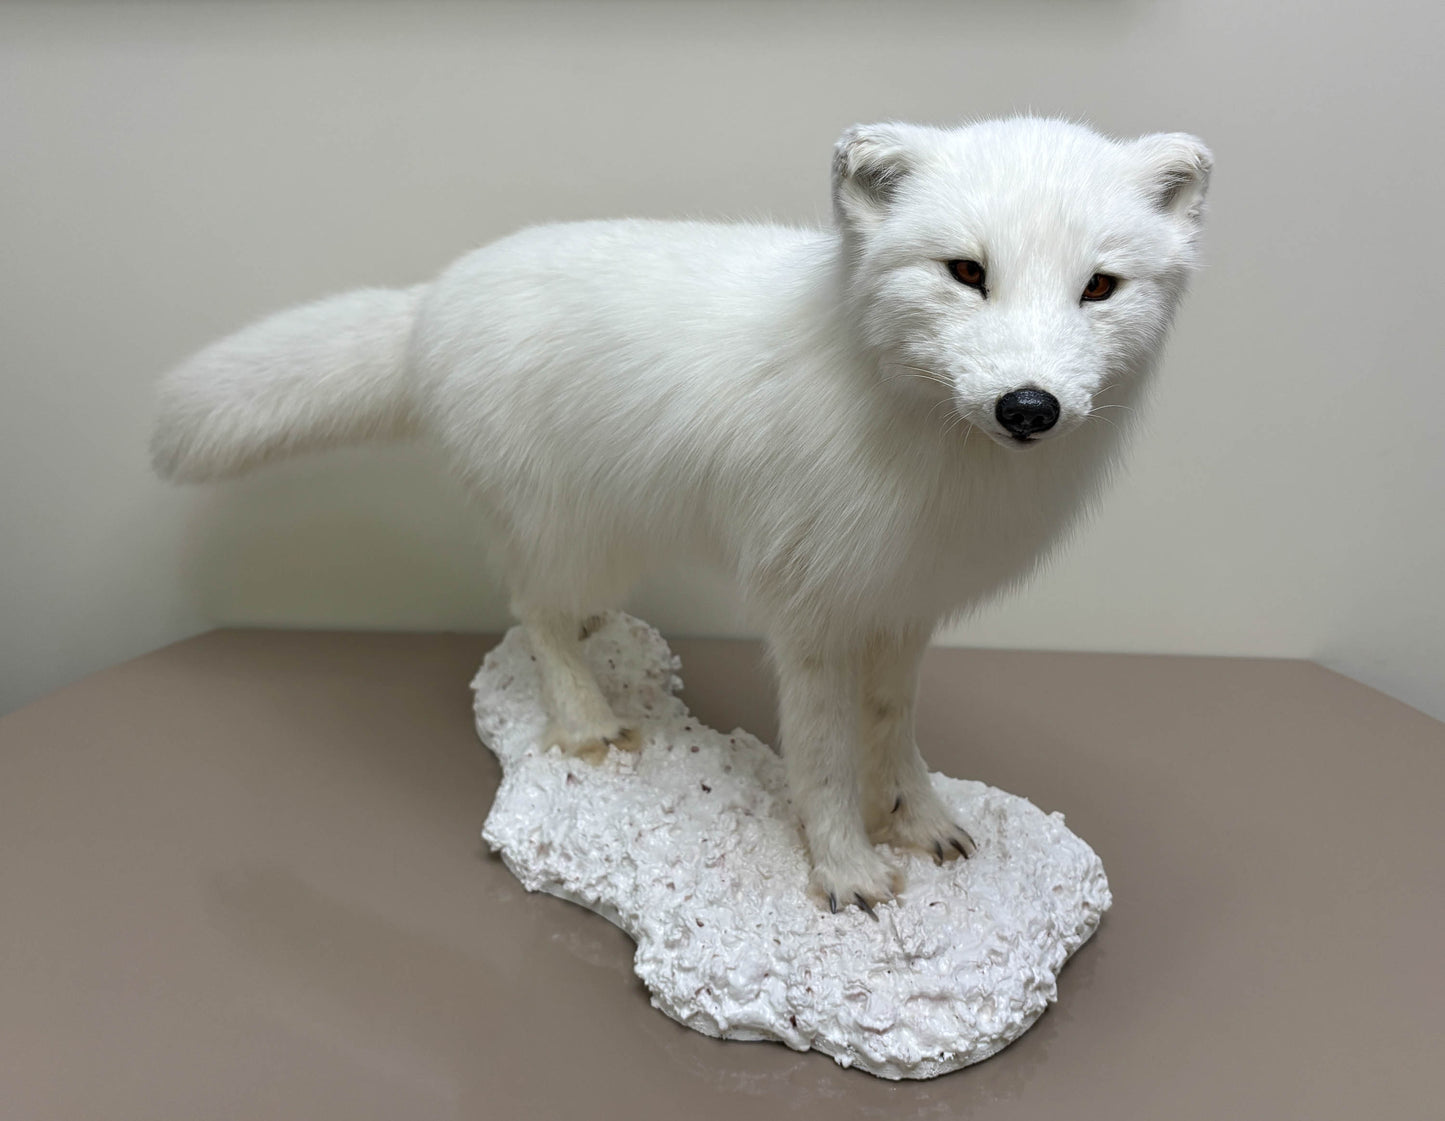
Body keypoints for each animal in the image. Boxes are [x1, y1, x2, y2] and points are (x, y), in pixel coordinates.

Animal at [151, 117, 1211, 915]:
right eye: (964, 271)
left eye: (1099, 285)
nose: (1027, 406)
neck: (939, 471)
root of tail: (431, 306)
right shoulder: (808, 607)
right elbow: (821, 751)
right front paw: (845, 870)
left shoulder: (901, 603)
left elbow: (892, 724)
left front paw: (919, 818)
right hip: (571, 528)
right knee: (530, 611)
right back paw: (586, 720)